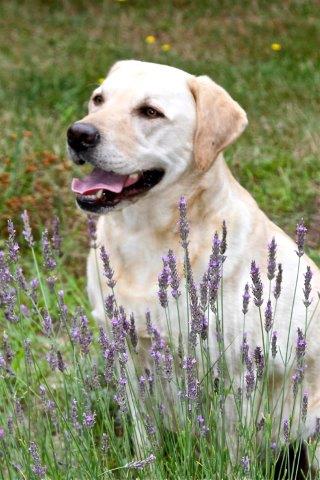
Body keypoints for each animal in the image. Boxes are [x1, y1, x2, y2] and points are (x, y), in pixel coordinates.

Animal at [68, 60, 320, 462]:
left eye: (150, 112)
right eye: (98, 99)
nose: (78, 134)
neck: (144, 237)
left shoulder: (234, 373)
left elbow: (233, 453)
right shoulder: (125, 352)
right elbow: (144, 433)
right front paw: (145, 463)